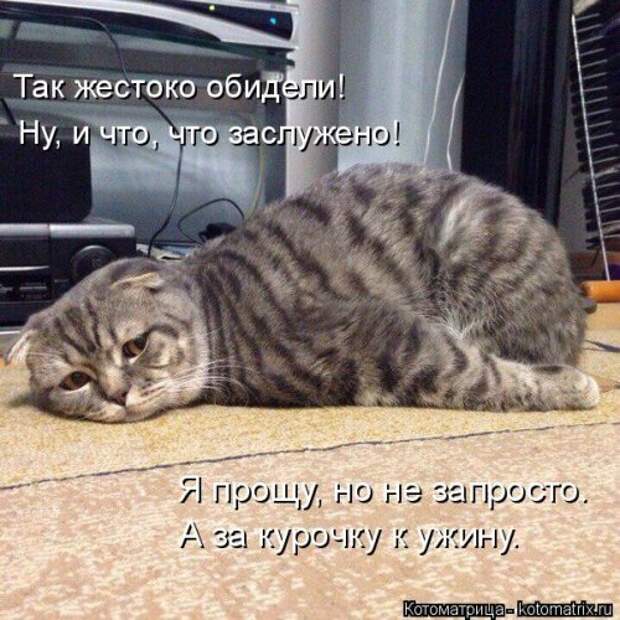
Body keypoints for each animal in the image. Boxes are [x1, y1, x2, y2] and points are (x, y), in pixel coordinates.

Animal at [5, 163, 599, 422]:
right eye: (76, 381)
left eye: (135, 346)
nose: (116, 395)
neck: (218, 317)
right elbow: (473, 375)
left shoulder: (382, 337)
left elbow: (476, 375)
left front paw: (569, 389)